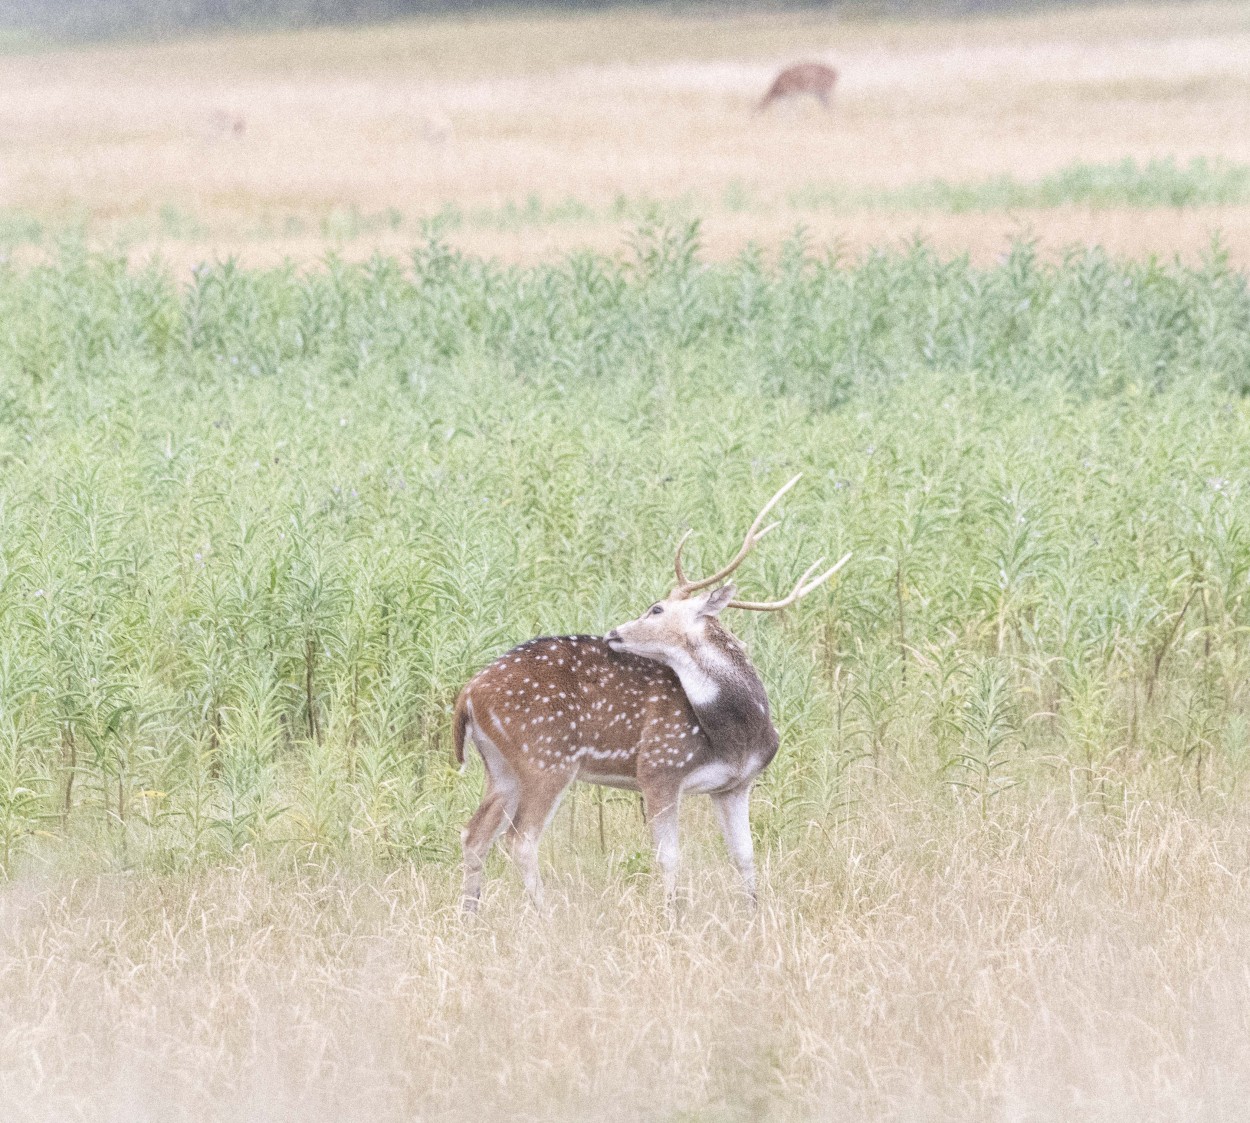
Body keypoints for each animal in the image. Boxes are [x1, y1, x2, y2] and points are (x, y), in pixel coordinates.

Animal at [450, 475, 850, 910]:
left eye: (655, 609)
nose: (613, 632)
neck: (736, 736)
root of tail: (468, 694)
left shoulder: (735, 784)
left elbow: (744, 855)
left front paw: (753, 912)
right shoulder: (658, 769)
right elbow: (669, 857)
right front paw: (672, 914)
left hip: (502, 767)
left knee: (474, 835)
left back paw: (470, 913)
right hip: (545, 758)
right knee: (520, 840)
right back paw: (547, 914)